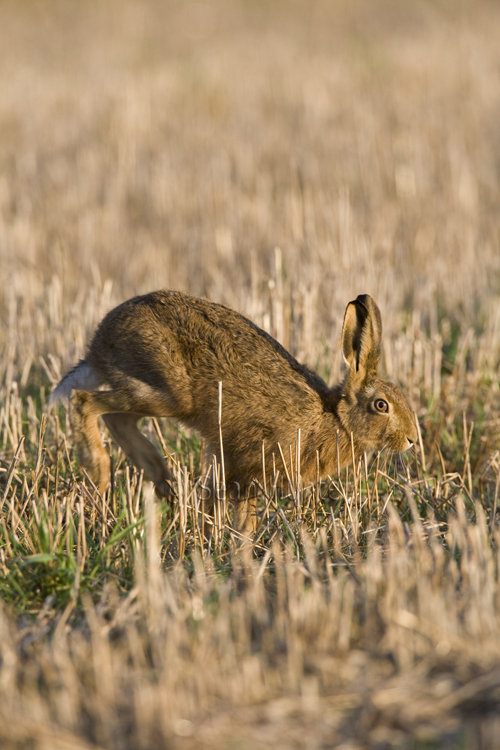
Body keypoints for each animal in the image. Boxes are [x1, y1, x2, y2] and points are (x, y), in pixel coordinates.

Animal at [50, 290, 417, 537]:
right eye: (381, 405)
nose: (412, 440)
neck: (333, 416)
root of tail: (98, 344)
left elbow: (221, 502)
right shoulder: (247, 465)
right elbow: (238, 511)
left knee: (116, 418)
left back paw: (163, 481)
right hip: (168, 390)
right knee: (85, 402)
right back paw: (99, 471)